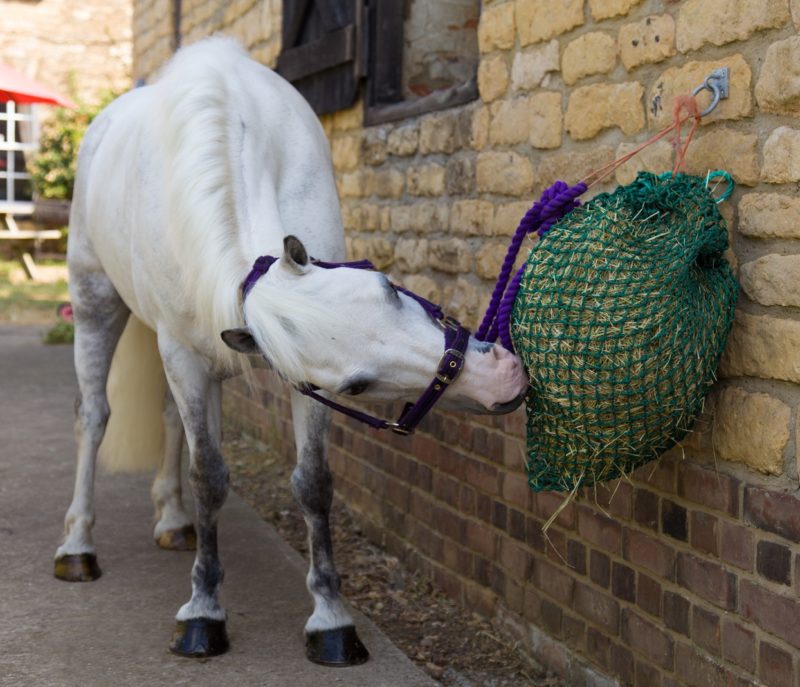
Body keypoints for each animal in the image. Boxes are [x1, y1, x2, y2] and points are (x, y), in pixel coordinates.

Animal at [57, 39, 532, 668]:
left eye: (386, 286)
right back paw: (77, 547)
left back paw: (174, 521)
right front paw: (203, 613)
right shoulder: (185, 355)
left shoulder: (298, 384)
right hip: (95, 303)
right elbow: (209, 475)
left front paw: (331, 620)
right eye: (358, 386)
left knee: (167, 422)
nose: (499, 378)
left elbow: (312, 482)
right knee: (93, 417)